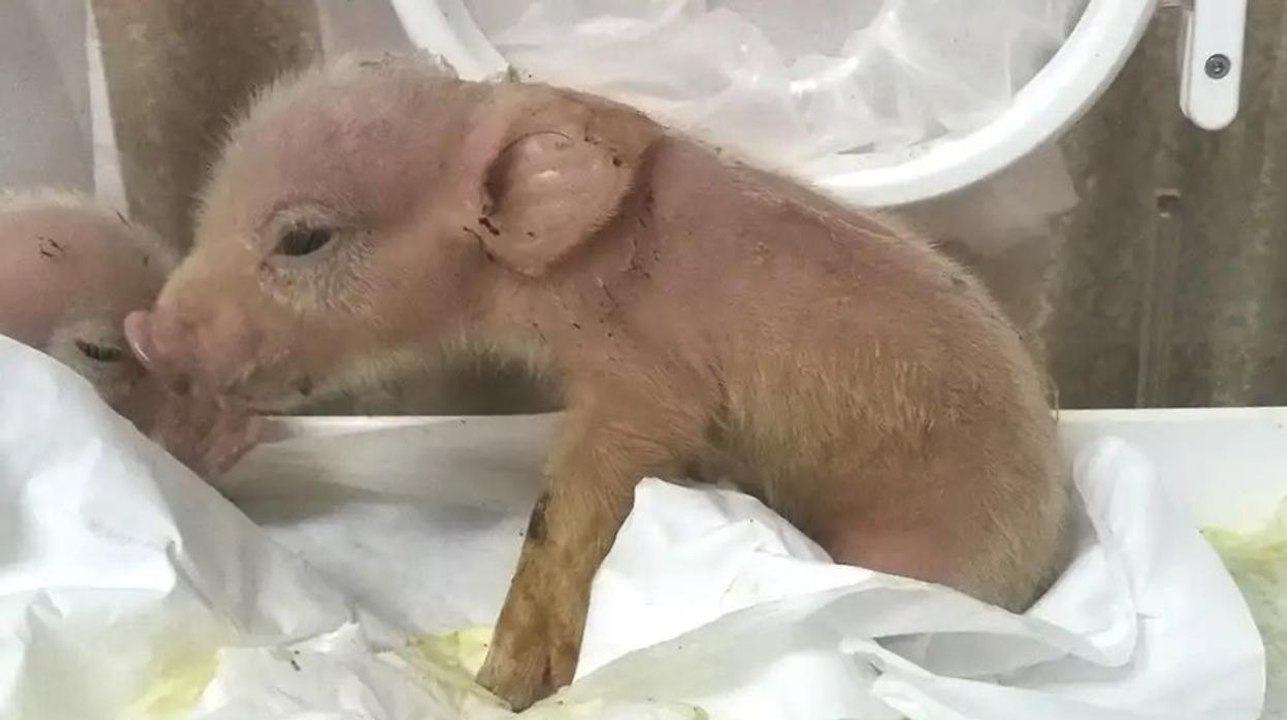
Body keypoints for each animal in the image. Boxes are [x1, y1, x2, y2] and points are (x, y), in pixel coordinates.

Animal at [123, 54, 1071, 711]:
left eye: (304, 239)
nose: (144, 330)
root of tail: (1044, 554)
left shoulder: (646, 383)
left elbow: (574, 504)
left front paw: (502, 685)